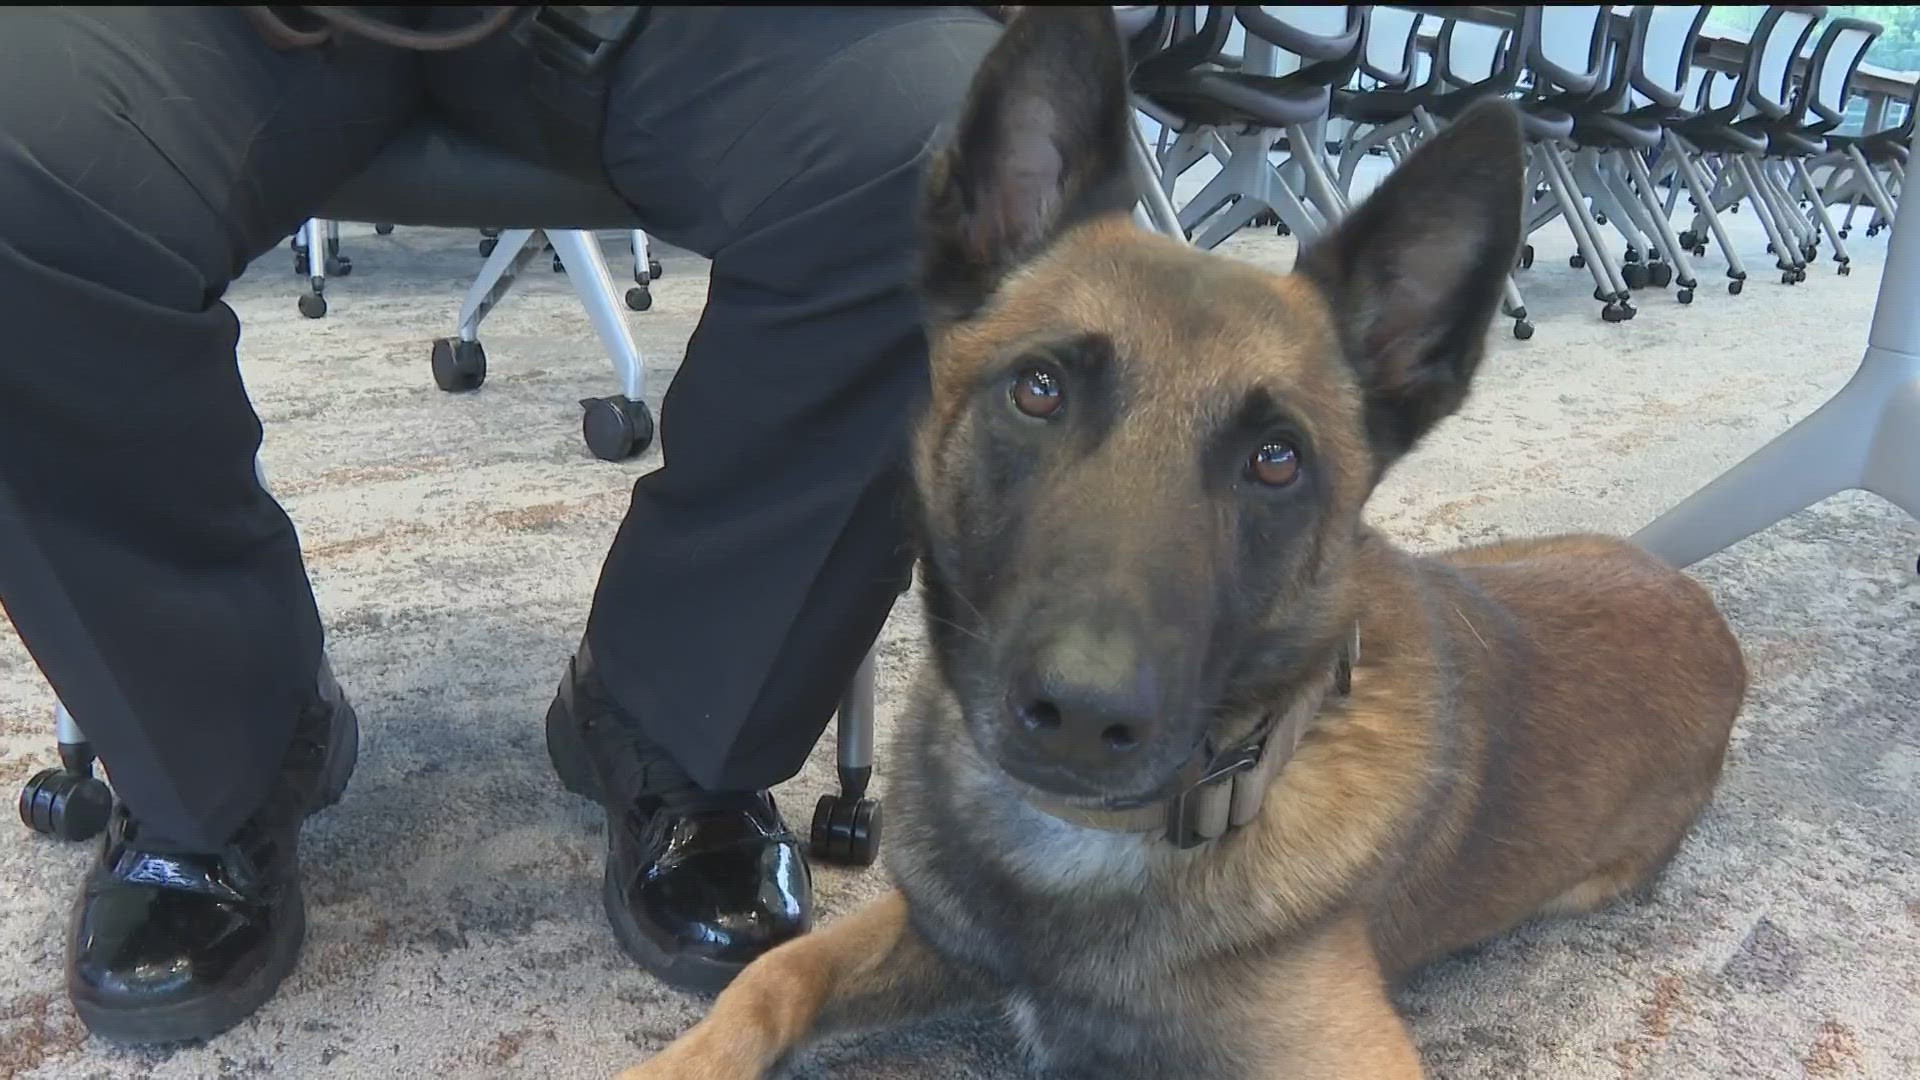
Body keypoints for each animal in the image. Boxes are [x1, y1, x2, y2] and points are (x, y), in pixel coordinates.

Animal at [618, 8, 1758, 1076]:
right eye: (1039, 390)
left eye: (1277, 459)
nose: (1083, 715)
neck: (1085, 840)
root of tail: (1703, 609)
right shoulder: (921, 929)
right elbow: (774, 974)